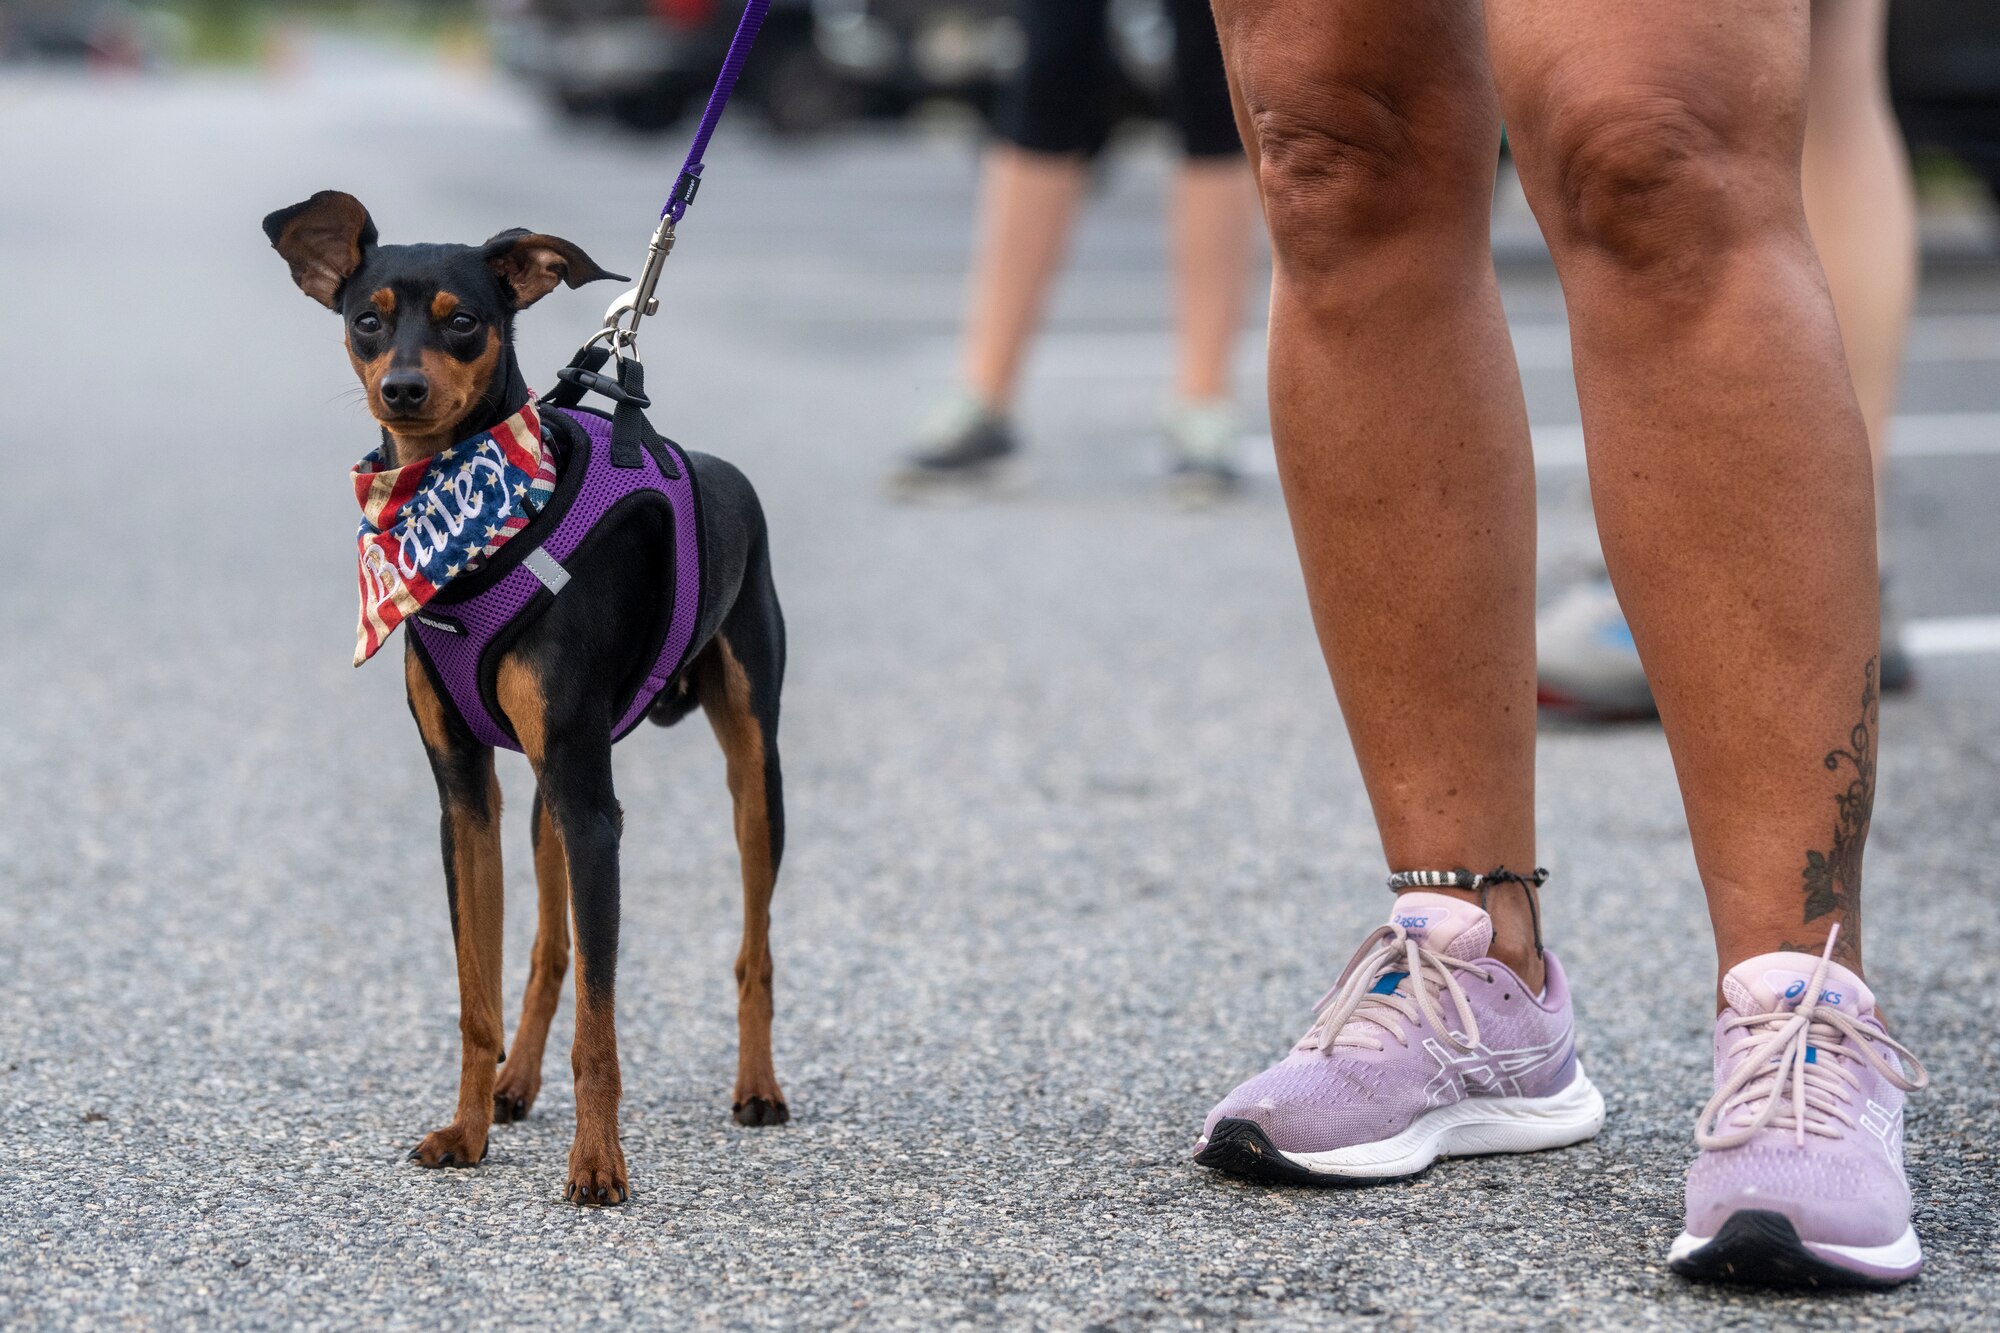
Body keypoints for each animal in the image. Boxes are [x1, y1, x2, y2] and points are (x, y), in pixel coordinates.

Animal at [264, 189, 788, 1200]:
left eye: (465, 320)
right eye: (365, 320)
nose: (403, 389)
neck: (467, 522)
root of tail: (727, 470)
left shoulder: (594, 809)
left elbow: (602, 1022)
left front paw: (598, 1164)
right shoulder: (467, 795)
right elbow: (482, 989)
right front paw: (467, 1128)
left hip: (752, 766)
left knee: (754, 941)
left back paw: (757, 1086)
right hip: (549, 786)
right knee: (551, 947)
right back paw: (515, 1083)